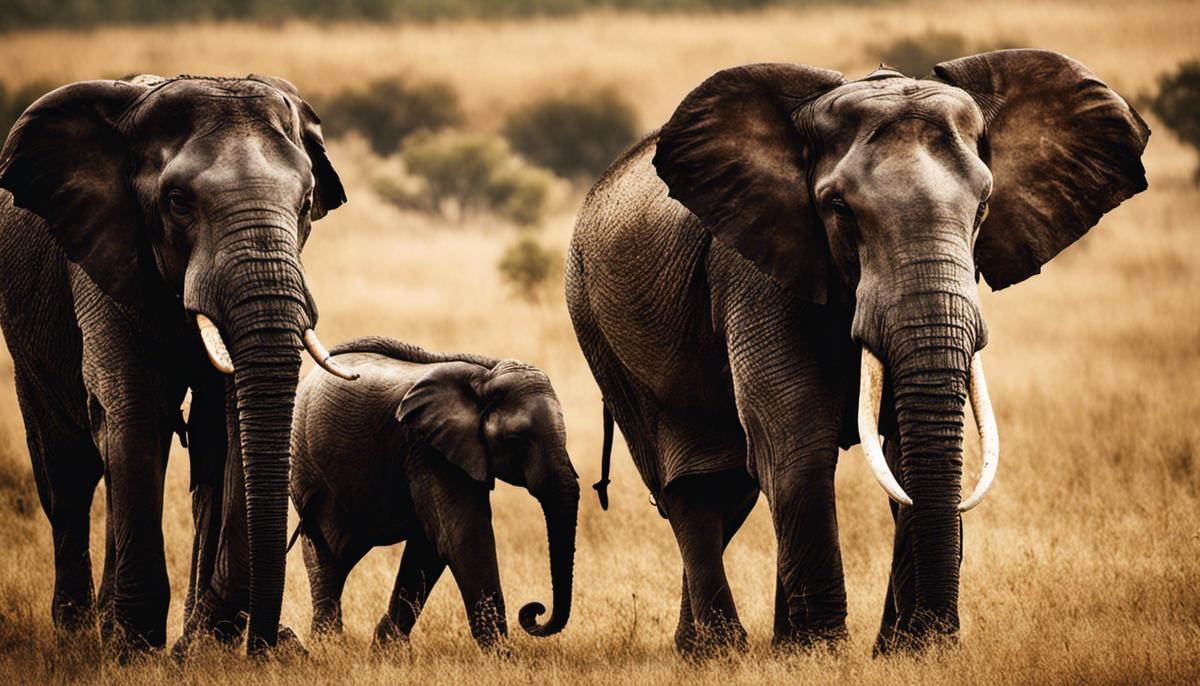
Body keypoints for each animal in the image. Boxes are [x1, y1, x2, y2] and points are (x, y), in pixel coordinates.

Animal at [0, 72, 355, 657]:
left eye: (306, 203)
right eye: (177, 201)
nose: (266, 643)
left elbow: (230, 426)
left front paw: (204, 643)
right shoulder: (101, 256)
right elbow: (136, 411)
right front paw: (134, 650)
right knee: (68, 469)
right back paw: (79, 634)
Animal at [285, 338, 576, 652]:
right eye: (515, 439)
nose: (535, 610)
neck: (484, 377)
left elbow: (431, 544)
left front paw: (386, 650)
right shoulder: (427, 448)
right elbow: (461, 537)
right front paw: (503, 657)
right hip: (306, 466)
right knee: (328, 556)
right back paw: (329, 647)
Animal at [566, 50, 1147, 657]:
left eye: (984, 205)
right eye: (839, 208)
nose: (939, 638)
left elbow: (901, 451)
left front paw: (902, 653)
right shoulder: (754, 268)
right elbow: (795, 435)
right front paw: (821, 653)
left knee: (734, 489)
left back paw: (722, 647)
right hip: (596, 326)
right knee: (696, 485)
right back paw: (720, 652)